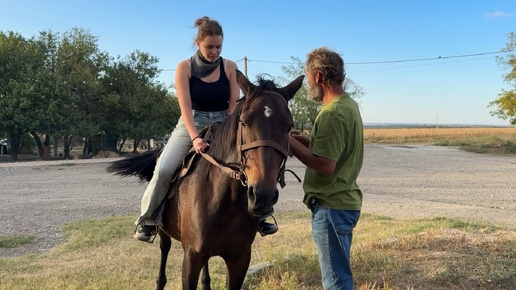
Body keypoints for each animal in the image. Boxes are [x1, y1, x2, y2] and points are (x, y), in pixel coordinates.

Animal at [107, 71, 304, 290]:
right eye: (244, 122)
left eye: (289, 127)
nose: (263, 195)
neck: (225, 200)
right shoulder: (191, 258)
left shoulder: (240, 258)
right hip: (163, 231)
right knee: (164, 250)